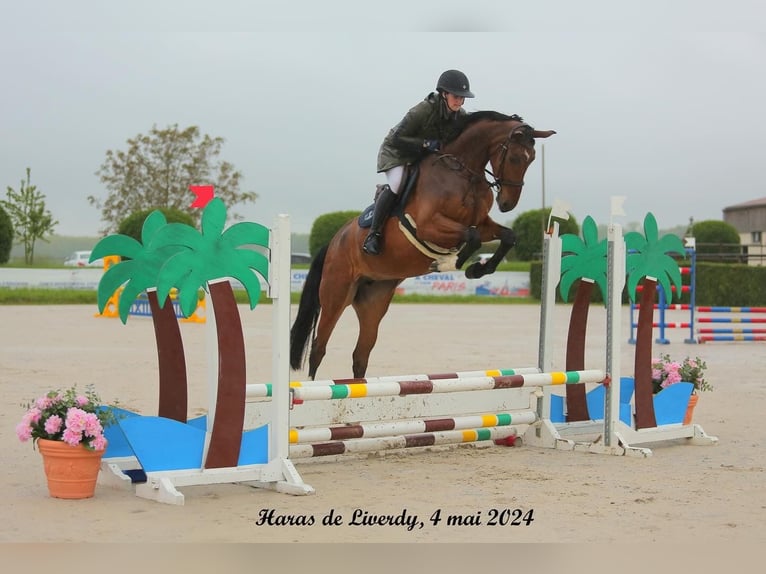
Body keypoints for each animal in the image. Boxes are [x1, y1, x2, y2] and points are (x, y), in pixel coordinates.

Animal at [292, 112, 556, 382]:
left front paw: (477, 269)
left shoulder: (482, 223)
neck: (464, 173)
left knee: (360, 354)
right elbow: (472, 237)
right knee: (319, 348)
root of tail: (334, 242)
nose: (507, 204)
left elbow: (507, 236)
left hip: (373, 302)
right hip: (336, 296)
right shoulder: (428, 226)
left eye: (532, 159)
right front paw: (448, 262)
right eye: (514, 157)